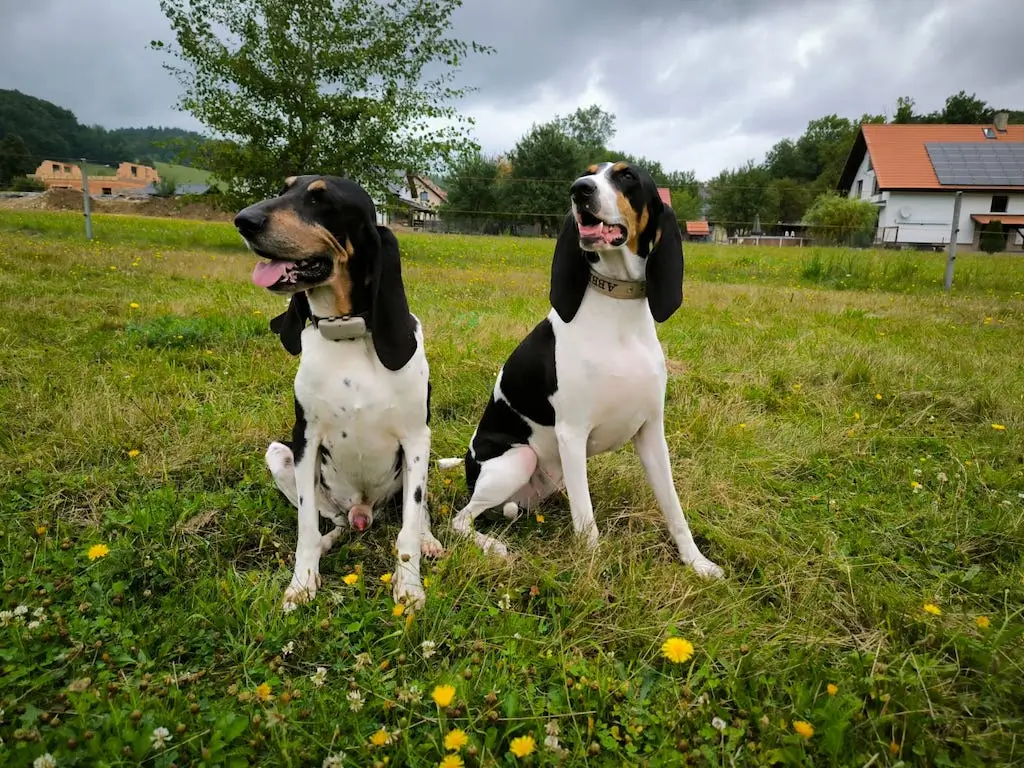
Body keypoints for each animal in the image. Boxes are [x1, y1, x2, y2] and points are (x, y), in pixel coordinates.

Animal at [234, 176, 442, 614]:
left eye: (321, 198)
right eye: (285, 188)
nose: (244, 220)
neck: (347, 333)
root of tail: (365, 512)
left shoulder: (417, 439)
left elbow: (408, 530)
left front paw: (409, 586)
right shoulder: (305, 441)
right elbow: (306, 528)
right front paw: (302, 582)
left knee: (418, 514)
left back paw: (430, 540)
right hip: (280, 456)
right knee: (335, 523)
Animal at [444, 162, 724, 581]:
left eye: (627, 176)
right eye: (588, 173)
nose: (580, 190)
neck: (618, 316)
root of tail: (468, 462)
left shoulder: (651, 434)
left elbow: (674, 508)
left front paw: (697, 562)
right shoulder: (572, 434)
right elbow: (587, 523)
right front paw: (595, 572)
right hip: (518, 459)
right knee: (460, 520)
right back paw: (494, 547)